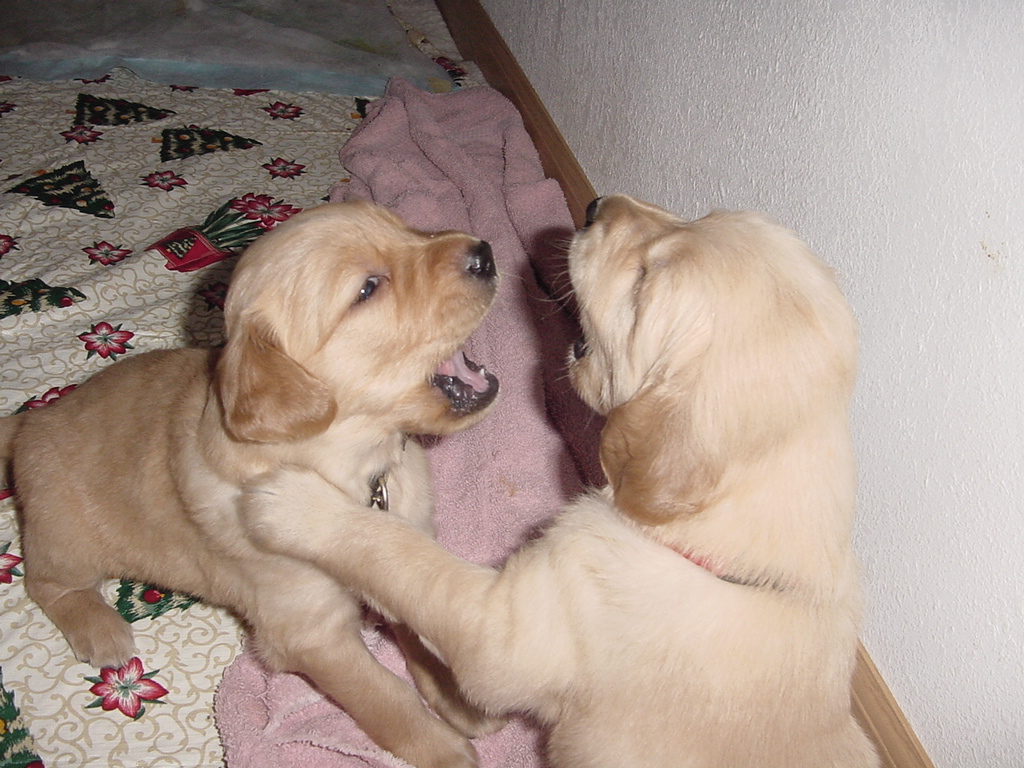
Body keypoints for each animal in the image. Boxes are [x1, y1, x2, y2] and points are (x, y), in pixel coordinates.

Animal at [0, 199, 503, 768]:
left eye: (405, 228)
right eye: (368, 288)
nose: (485, 253)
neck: (355, 468)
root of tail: (30, 421)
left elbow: (419, 623)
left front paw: (456, 698)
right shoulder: (309, 631)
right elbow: (384, 697)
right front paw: (442, 747)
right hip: (69, 536)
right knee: (45, 581)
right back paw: (99, 628)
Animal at [241, 195, 880, 765]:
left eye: (644, 283)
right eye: (697, 215)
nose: (595, 206)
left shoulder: (504, 634)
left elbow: (402, 555)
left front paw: (297, 503)